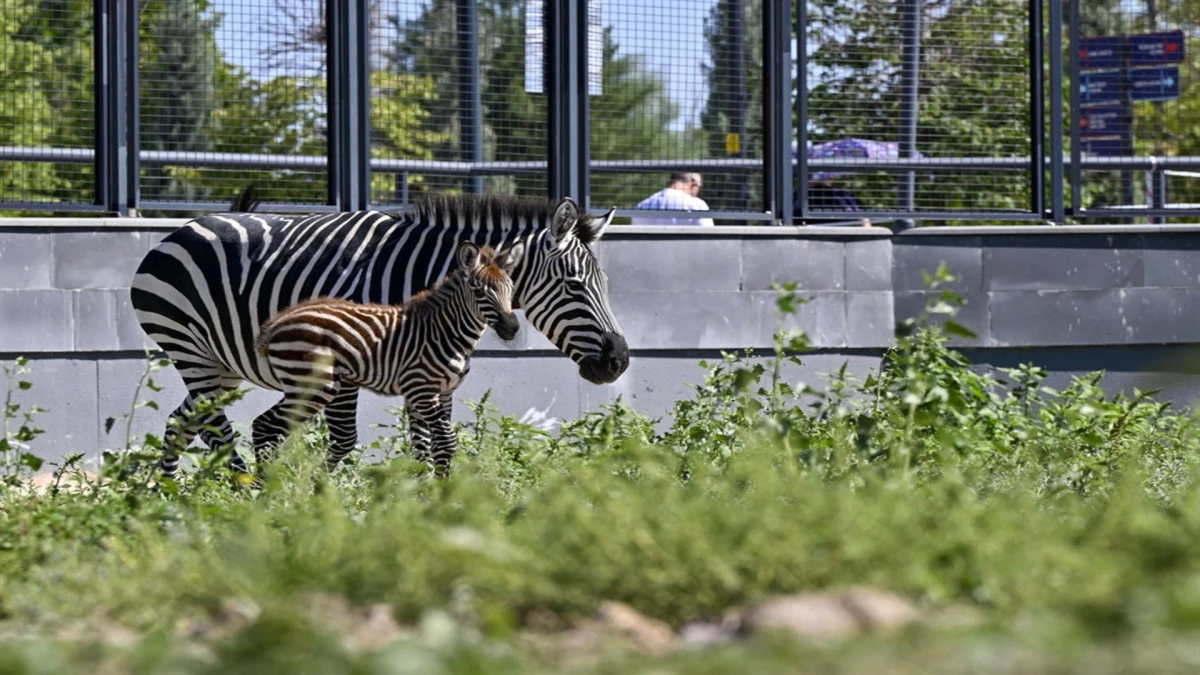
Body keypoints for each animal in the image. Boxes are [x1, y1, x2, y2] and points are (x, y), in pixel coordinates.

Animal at [254, 241, 524, 477]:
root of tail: (278, 321)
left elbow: (429, 446)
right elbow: (446, 441)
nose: (511, 328)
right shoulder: (422, 390)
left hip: (307, 385)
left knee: (263, 424)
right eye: (479, 291)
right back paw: (263, 490)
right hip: (314, 385)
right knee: (267, 426)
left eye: (510, 288)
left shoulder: (442, 392)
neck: (446, 331)